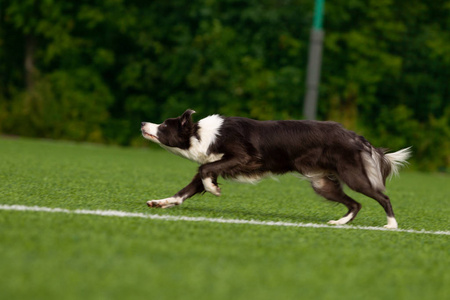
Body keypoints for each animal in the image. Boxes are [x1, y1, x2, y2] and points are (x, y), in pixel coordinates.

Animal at [142, 109, 412, 229]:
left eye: (164, 125)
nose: (143, 122)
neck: (201, 134)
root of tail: (356, 136)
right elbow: (190, 185)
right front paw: (160, 202)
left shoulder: (244, 156)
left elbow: (205, 169)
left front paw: (213, 188)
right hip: (322, 183)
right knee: (355, 204)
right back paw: (339, 222)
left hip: (353, 174)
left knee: (382, 197)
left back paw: (391, 225)